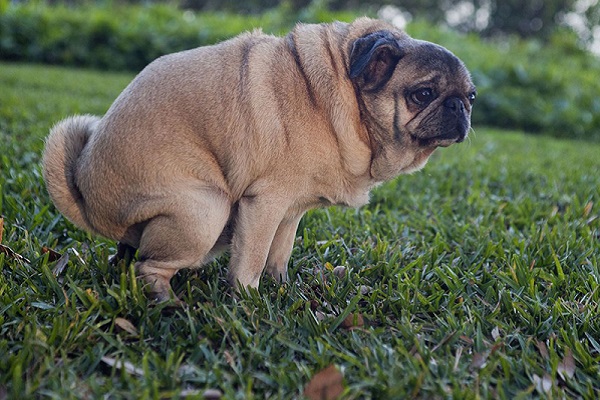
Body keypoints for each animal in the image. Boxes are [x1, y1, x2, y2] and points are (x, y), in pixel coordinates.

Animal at [42, 17, 476, 302]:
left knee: (127, 254)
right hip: (206, 210)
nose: (459, 106)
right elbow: (250, 261)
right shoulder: (264, 203)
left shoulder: (291, 209)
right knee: (148, 267)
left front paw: (281, 288)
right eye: (422, 94)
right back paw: (167, 303)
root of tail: (87, 200)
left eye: (471, 96)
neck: (342, 98)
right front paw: (248, 302)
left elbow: (279, 253)